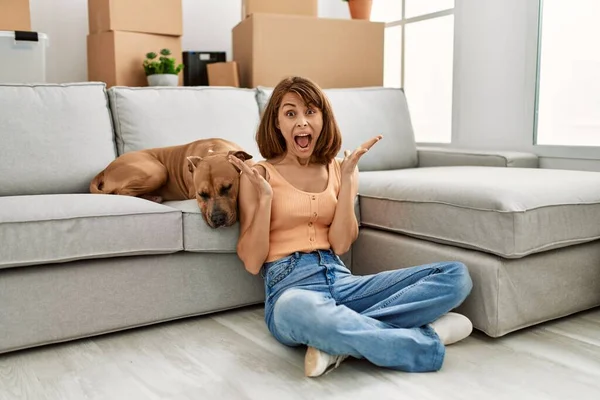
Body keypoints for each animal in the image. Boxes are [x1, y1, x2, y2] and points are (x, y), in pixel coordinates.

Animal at [89, 139, 253, 228]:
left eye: (228, 187)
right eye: (201, 194)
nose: (218, 219)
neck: (214, 151)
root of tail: (105, 169)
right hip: (157, 171)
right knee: (122, 192)